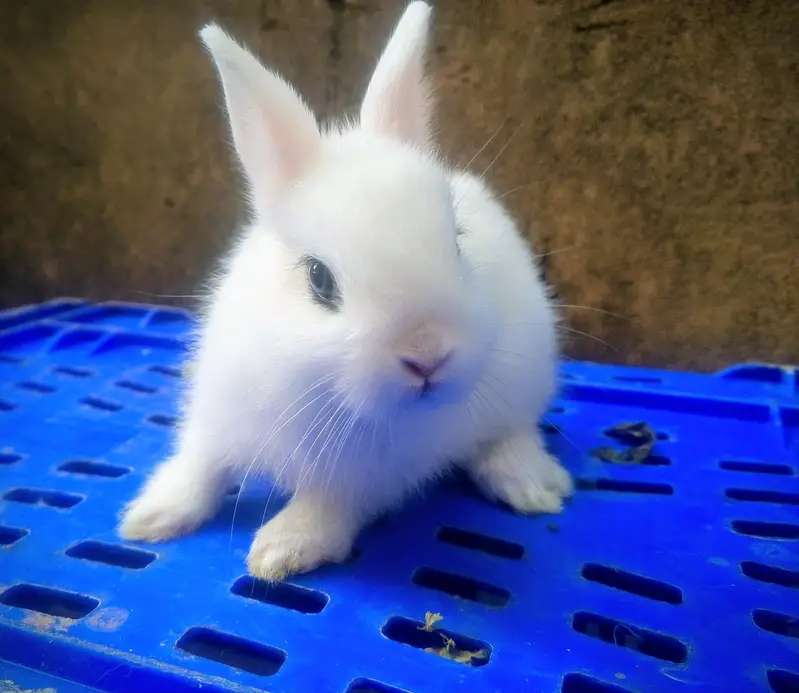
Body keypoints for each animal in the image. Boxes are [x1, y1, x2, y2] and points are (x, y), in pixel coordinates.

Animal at [118, 1, 573, 581]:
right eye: (318, 278)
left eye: (456, 242)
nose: (427, 356)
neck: (316, 388)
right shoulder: (216, 418)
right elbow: (199, 468)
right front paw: (150, 517)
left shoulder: (366, 479)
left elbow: (327, 504)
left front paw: (280, 551)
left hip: (522, 383)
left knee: (512, 434)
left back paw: (535, 487)